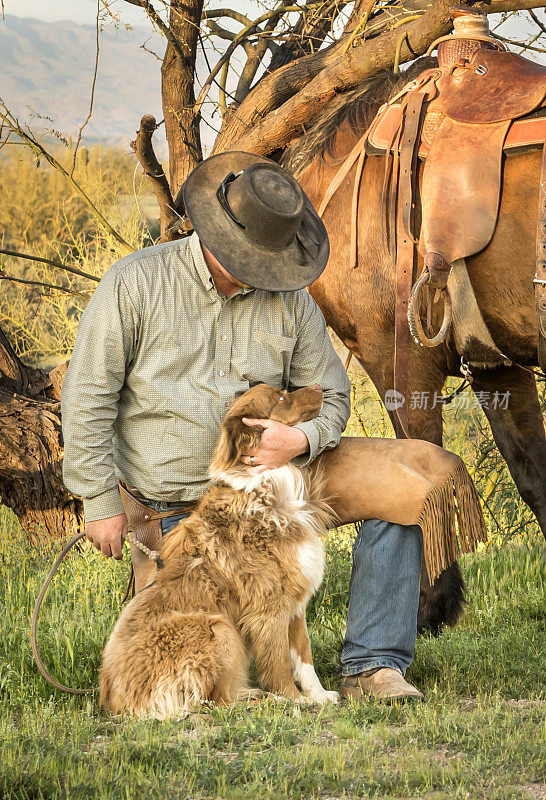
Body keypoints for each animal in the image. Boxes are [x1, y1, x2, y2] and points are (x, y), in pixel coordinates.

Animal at [98, 382, 336, 720]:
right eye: (280, 396)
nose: (318, 386)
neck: (266, 490)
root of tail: (119, 704)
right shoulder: (268, 609)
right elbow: (279, 665)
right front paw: (294, 700)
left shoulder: (295, 603)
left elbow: (304, 657)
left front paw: (319, 695)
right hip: (218, 627)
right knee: (220, 701)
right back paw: (268, 700)